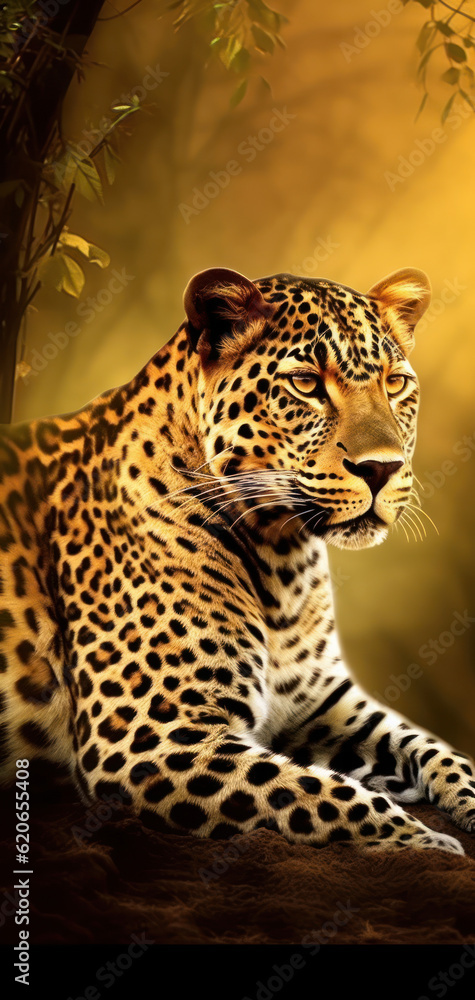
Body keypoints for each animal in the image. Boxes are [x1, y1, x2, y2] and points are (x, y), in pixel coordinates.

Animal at [1, 265, 474, 855]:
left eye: (394, 383)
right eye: (306, 383)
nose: (381, 469)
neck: (281, 556)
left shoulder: (323, 701)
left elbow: (433, 749)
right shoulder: (149, 737)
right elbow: (327, 796)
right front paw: (426, 844)